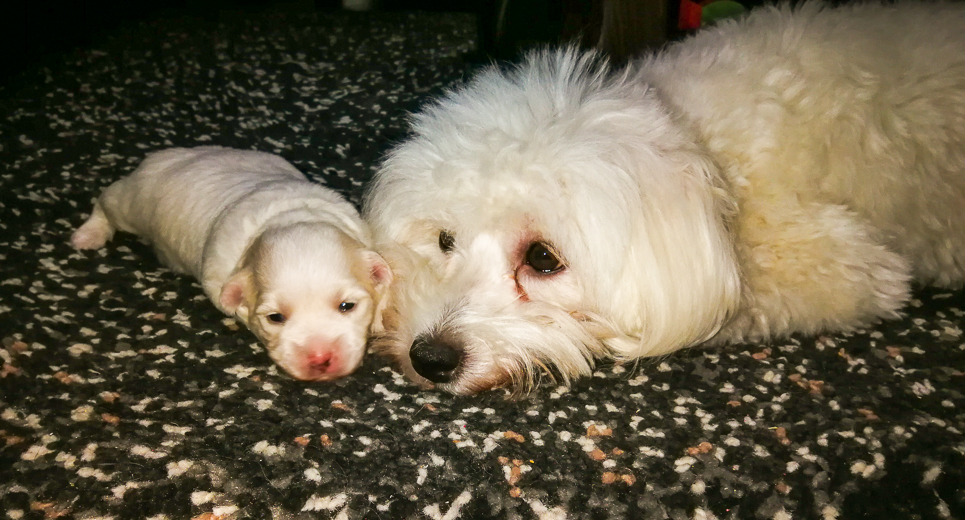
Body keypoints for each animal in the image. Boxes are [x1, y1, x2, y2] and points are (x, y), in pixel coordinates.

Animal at [73, 146, 392, 382]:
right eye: (275, 317)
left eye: (347, 306)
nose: (320, 358)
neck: (293, 214)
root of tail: (167, 154)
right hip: (130, 203)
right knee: (105, 201)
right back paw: (88, 235)